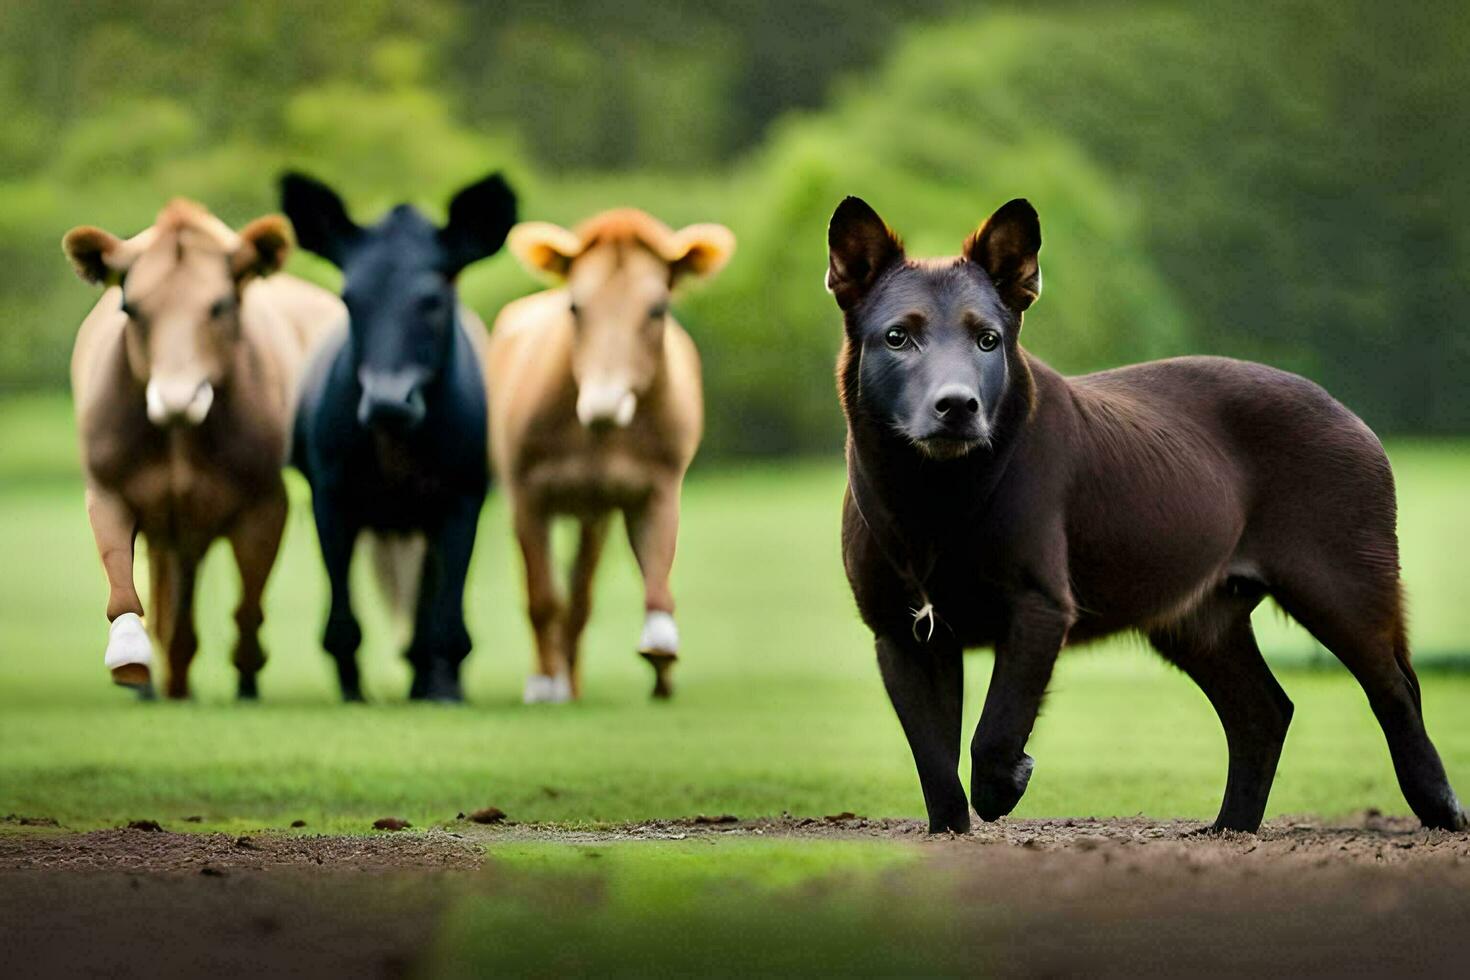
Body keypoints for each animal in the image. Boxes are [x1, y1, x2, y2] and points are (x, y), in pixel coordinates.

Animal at [65, 199, 341, 702]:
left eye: (220, 305)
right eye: (131, 307)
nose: (177, 397)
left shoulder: (263, 502)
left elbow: (249, 602)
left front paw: (248, 664)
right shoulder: (111, 487)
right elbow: (121, 579)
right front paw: (130, 656)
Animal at [485, 211, 732, 702]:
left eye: (657, 309)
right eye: (575, 307)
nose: (604, 403)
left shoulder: (656, 485)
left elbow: (654, 569)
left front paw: (660, 644)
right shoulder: (526, 492)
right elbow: (541, 598)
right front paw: (545, 681)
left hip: (593, 513)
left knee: (581, 590)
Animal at [834, 196, 1464, 834]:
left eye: (988, 339)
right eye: (897, 337)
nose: (958, 405)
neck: (934, 495)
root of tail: (1347, 413)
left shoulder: (1038, 606)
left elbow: (993, 734)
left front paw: (1008, 783)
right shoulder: (902, 635)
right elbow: (934, 763)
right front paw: (951, 830)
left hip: (1340, 586)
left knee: (1395, 691)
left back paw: (1440, 808)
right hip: (1198, 619)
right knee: (1264, 712)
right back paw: (1230, 828)